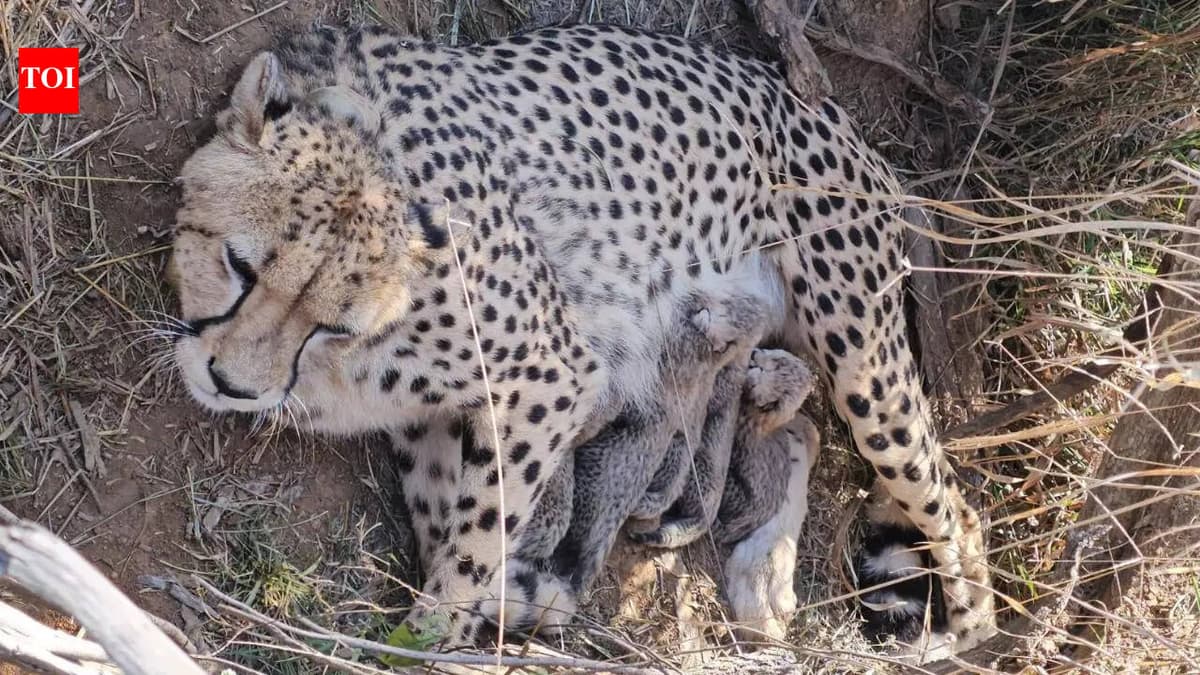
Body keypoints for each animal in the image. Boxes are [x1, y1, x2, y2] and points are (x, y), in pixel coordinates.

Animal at [167, 22, 996, 660]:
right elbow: (446, 518)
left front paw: (433, 637)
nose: (232, 384)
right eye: (239, 265)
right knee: (800, 430)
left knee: (956, 509)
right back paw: (763, 581)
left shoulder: (552, 375)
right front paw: (508, 598)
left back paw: (953, 632)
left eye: (331, 321)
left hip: (865, 359)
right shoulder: (434, 415)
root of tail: (824, 108)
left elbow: (476, 536)